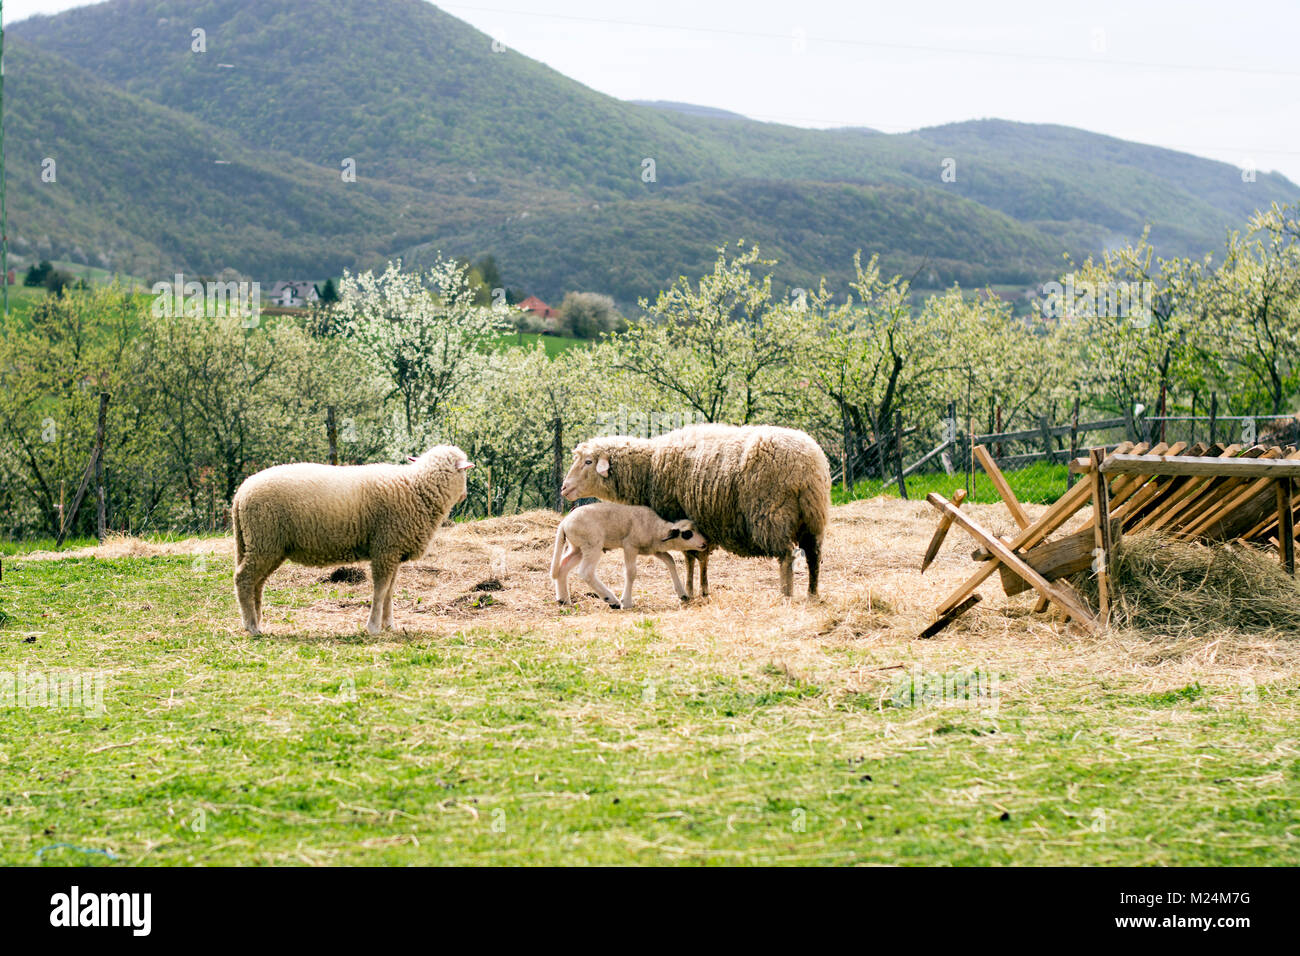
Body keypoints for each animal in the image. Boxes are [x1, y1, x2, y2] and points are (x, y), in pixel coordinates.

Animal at [231, 447, 475, 634]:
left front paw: (389, 625)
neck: (416, 488)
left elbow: (390, 591)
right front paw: (374, 627)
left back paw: (257, 620)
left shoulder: (393, 550)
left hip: (265, 545)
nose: (465, 495)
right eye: (464, 474)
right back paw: (251, 626)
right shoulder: (385, 548)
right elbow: (380, 590)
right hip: (264, 540)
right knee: (243, 578)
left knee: (257, 582)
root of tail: (241, 493)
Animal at [551, 496, 712, 608]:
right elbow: (631, 572)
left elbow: (670, 561)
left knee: (563, 568)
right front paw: (626, 602)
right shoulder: (630, 546)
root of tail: (564, 523)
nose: (705, 543)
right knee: (586, 572)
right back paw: (612, 600)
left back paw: (564, 600)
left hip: (578, 548)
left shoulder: (654, 550)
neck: (655, 528)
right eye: (687, 534)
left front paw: (682, 594)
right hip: (592, 545)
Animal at [561, 426, 832, 598]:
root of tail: (809, 464)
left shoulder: (680, 515)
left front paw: (690, 590)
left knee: (786, 555)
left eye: (587, 461)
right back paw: (812, 593)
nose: (564, 488)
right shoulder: (700, 521)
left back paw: (786, 593)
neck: (649, 468)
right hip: (813, 518)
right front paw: (703, 589)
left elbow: (690, 557)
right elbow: (702, 558)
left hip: (771, 514)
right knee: (813, 555)